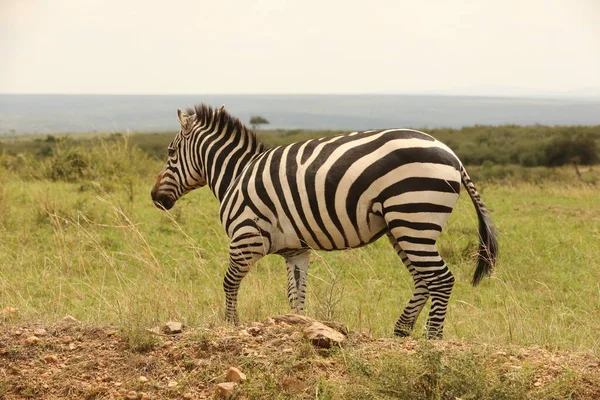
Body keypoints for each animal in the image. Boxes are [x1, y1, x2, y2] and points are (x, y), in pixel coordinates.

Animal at [151, 103, 496, 338]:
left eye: (170, 152)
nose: (155, 197)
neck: (236, 176)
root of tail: (453, 156)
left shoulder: (245, 237)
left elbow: (229, 282)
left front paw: (231, 325)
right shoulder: (296, 250)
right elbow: (296, 295)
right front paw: (298, 328)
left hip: (414, 217)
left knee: (441, 279)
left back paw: (432, 340)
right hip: (402, 227)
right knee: (424, 280)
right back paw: (400, 331)